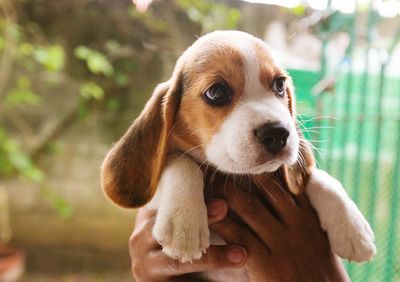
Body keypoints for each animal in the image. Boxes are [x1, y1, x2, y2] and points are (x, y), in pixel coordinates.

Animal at [101, 30, 376, 266]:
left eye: (279, 85)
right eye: (216, 92)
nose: (278, 133)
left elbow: (319, 177)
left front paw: (352, 228)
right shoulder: (150, 203)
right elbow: (180, 161)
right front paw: (184, 225)